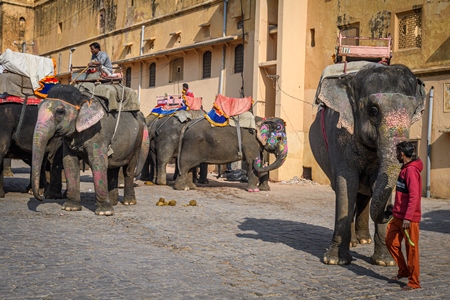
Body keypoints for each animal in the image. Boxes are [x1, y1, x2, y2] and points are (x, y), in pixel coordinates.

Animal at [32, 84, 151, 216]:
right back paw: (113, 202)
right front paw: (70, 208)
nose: (41, 197)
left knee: (129, 169)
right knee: (112, 168)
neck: (82, 98)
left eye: (60, 112)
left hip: (137, 140)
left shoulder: (98, 134)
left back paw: (128, 202)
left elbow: (97, 162)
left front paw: (105, 212)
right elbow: (69, 162)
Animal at [310, 62, 426, 264]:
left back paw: (364, 240)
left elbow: (378, 183)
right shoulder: (339, 137)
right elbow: (347, 182)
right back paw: (353, 243)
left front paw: (385, 261)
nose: (390, 210)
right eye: (373, 110)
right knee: (348, 190)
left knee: (364, 194)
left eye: (413, 112)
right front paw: (334, 260)